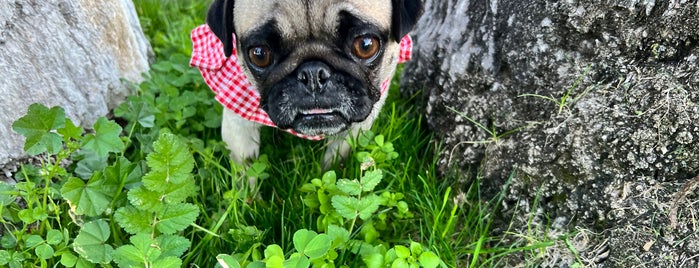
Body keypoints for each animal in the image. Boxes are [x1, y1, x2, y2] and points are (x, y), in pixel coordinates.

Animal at [189, 0, 424, 165]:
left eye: (366, 45)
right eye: (259, 54)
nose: (312, 75)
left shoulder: (360, 125)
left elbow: (336, 159)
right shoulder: (238, 127)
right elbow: (246, 169)